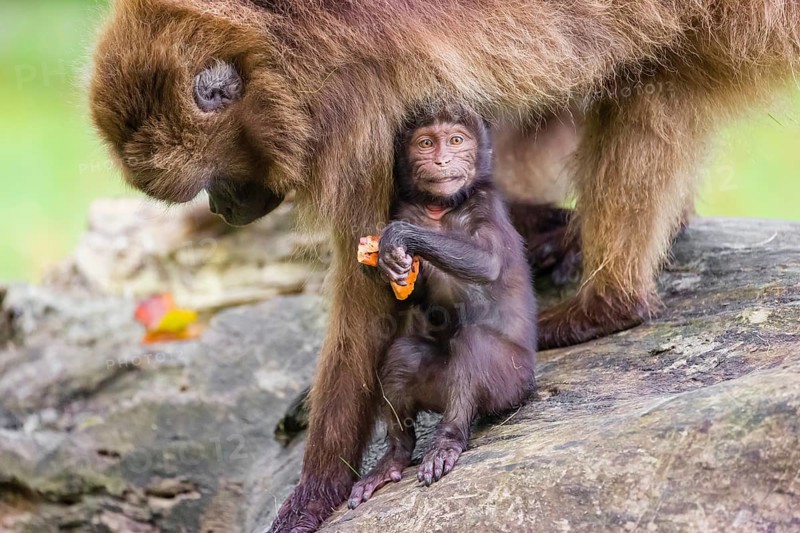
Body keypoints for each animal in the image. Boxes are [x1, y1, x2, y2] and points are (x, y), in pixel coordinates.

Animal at [345, 105, 536, 508]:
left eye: (457, 140)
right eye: (426, 143)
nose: (442, 160)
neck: (440, 210)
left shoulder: (484, 203)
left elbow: (487, 261)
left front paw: (397, 240)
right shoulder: (405, 205)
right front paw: (384, 264)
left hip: (514, 384)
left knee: (474, 346)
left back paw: (448, 440)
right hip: (435, 385)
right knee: (402, 356)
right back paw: (394, 457)